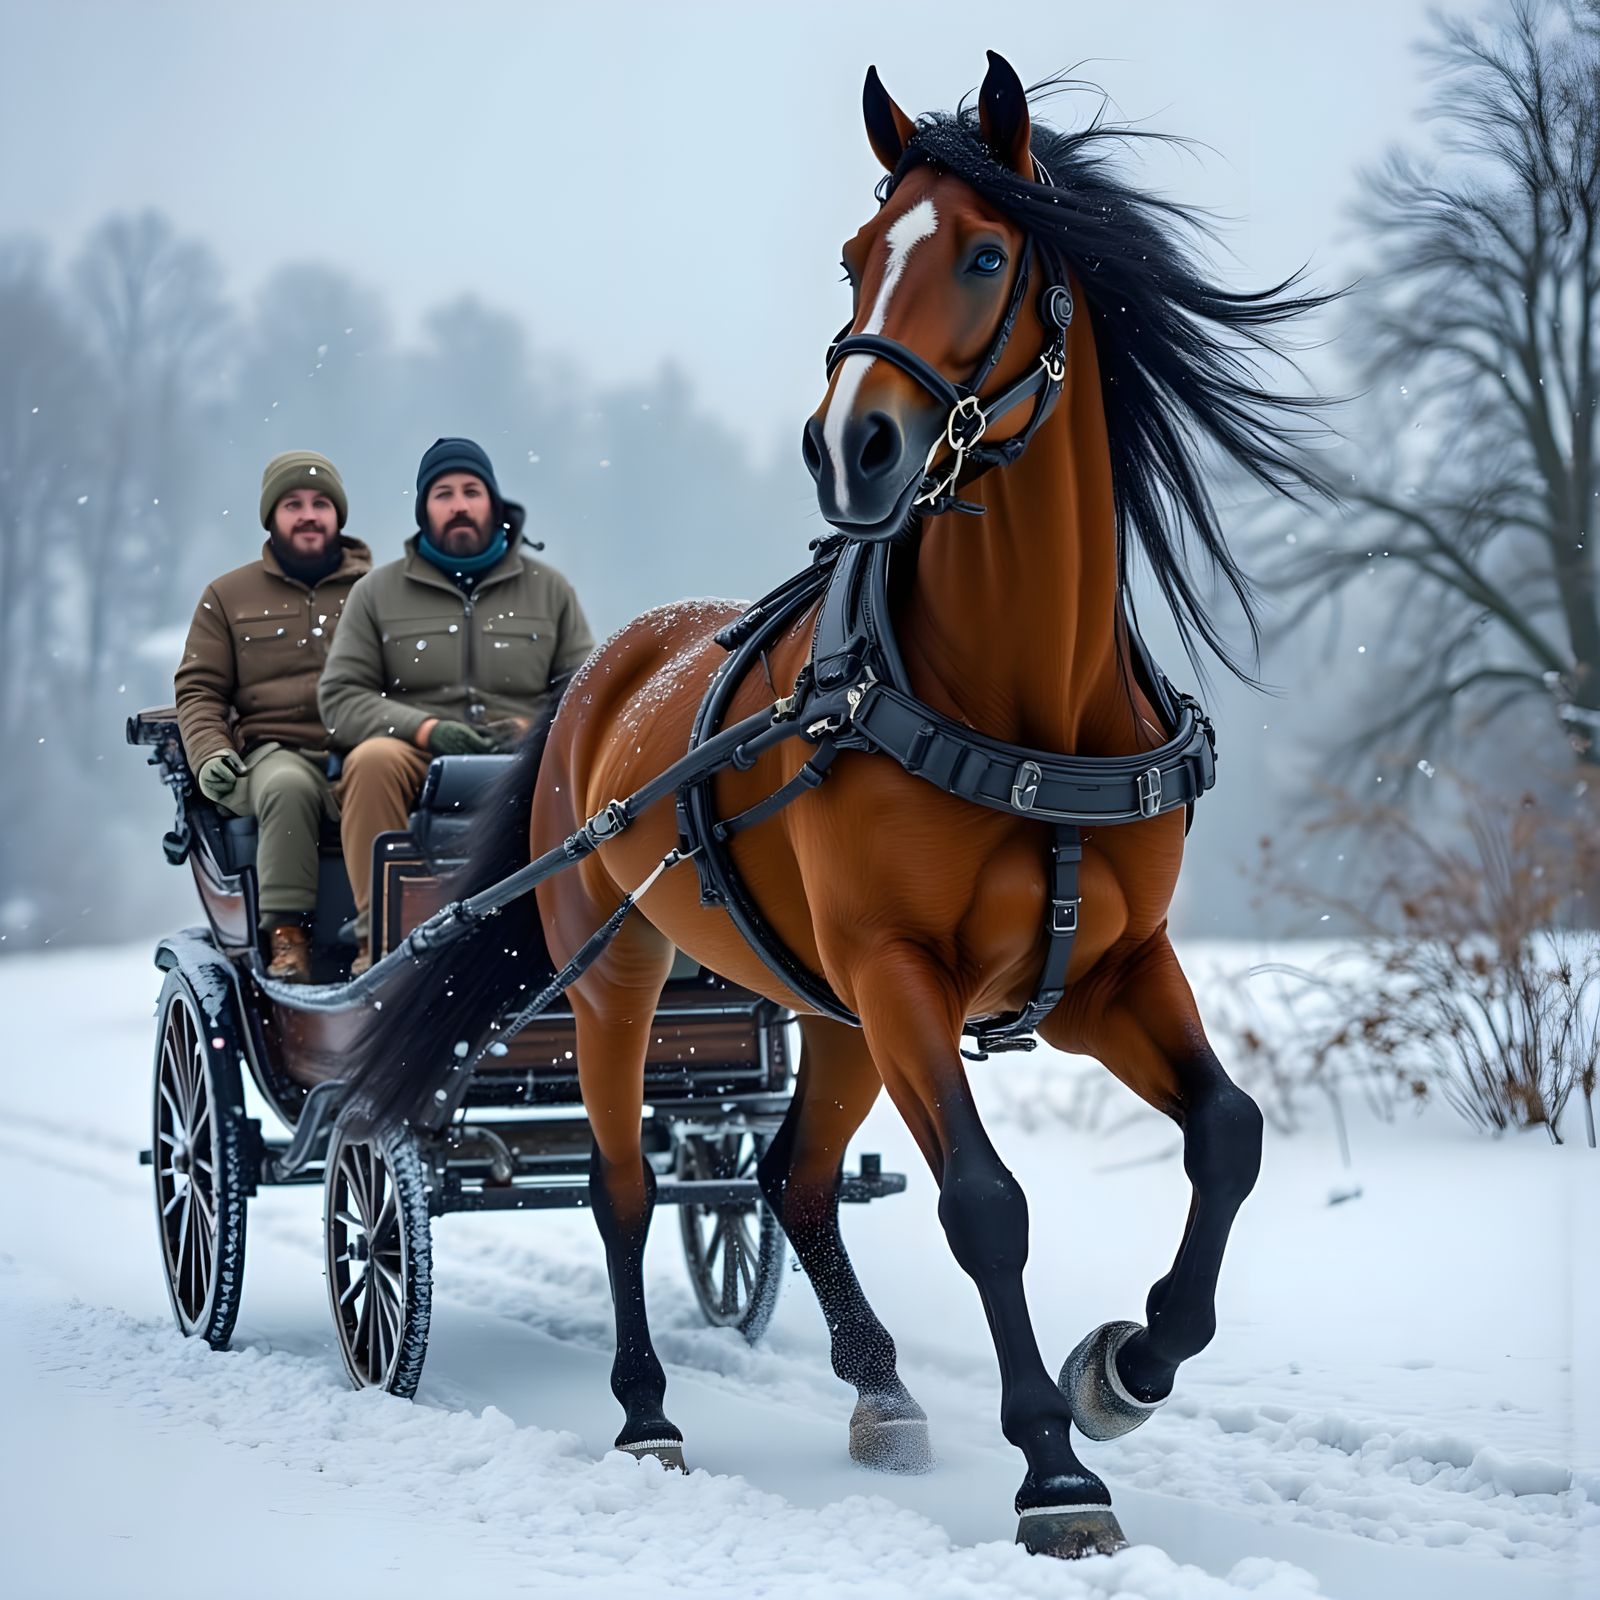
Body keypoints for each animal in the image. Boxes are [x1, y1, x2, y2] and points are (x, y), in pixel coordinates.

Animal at [340, 51, 1330, 1559]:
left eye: (984, 254)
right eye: (859, 255)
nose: (848, 447)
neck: (1028, 711)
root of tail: (599, 676)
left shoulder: (1105, 969)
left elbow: (1229, 1137)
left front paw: (1126, 1369)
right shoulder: (900, 967)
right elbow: (986, 1204)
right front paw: (1055, 1472)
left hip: (828, 1006)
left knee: (786, 1178)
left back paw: (878, 1390)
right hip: (626, 964)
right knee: (626, 1186)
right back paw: (647, 1412)